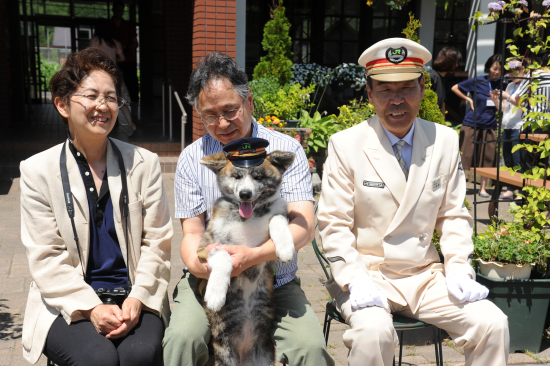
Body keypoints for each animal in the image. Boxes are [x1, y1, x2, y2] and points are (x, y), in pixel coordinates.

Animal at [199, 149, 298, 366]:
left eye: (258, 177)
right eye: (236, 176)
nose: (245, 194)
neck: (249, 217)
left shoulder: (270, 259)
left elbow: (278, 218)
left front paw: (286, 246)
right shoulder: (205, 246)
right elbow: (223, 256)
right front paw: (216, 293)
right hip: (225, 355)